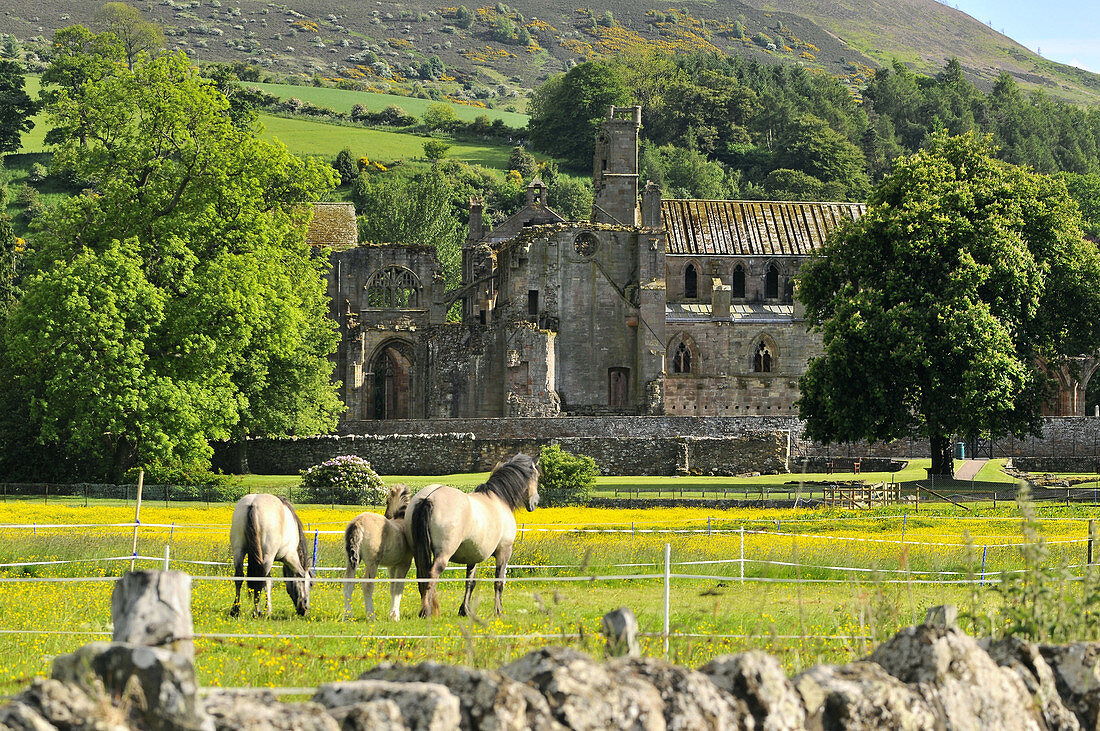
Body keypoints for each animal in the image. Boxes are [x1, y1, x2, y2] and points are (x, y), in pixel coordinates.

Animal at [341, 481, 413, 619]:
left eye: (387, 500)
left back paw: (348, 615)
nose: (387, 516)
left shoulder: (392, 566)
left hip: (351, 560)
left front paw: (391, 614)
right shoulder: (404, 563)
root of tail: (357, 522)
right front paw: (395, 616)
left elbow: (393, 587)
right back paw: (371, 616)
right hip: (372, 562)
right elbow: (398, 587)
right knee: (367, 584)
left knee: (348, 582)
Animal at [407, 452, 539, 619]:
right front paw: (498, 611)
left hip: (417, 552)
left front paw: (465, 610)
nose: (535, 503)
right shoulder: (504, 552)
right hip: (443, 554)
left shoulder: (473, 556)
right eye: (537, 476)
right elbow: (499, 582)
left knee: (422, 577)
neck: (499, 499)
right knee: (431, 576)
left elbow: (470, 582)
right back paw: (426, 612)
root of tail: (428, 497)